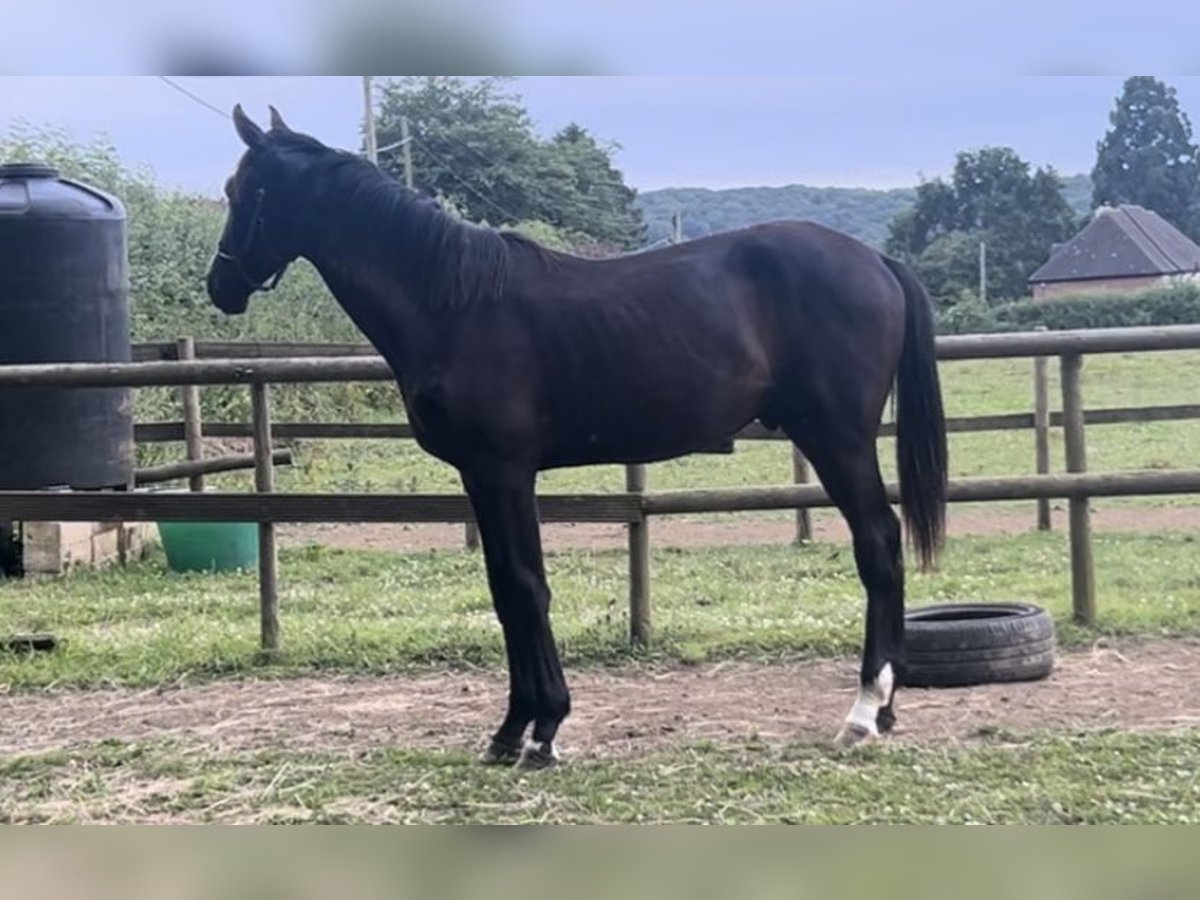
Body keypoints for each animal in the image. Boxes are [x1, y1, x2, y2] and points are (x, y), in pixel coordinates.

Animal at [211, 105, 950, 768]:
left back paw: (863, 711)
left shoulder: (504, 471)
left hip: (838, 439)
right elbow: (506, 591)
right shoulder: (481, 477)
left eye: (237, 191)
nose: (219, 285)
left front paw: (538, 732)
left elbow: (524, 588)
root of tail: (876, 260)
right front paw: (514, 731)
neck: (454, 305)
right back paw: (885, 711)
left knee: (878, 547)